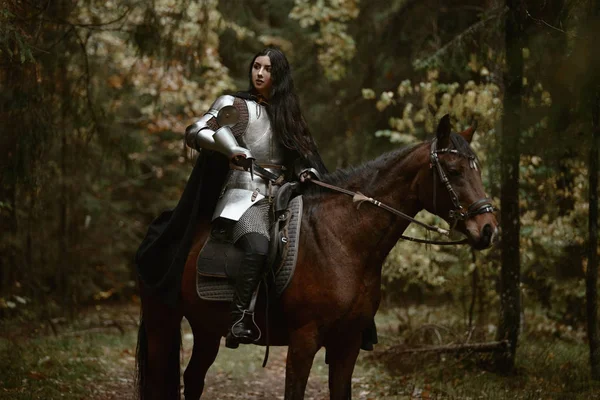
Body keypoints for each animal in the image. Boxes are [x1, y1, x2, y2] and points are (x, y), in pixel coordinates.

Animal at [136, 115, 496, 400]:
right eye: (454, 170)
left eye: (477, 168)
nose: (488, 228)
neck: (343, 241)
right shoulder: (303, 342)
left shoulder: (347, 344)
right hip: (161, 322)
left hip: (206, 328)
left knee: (193, 379)